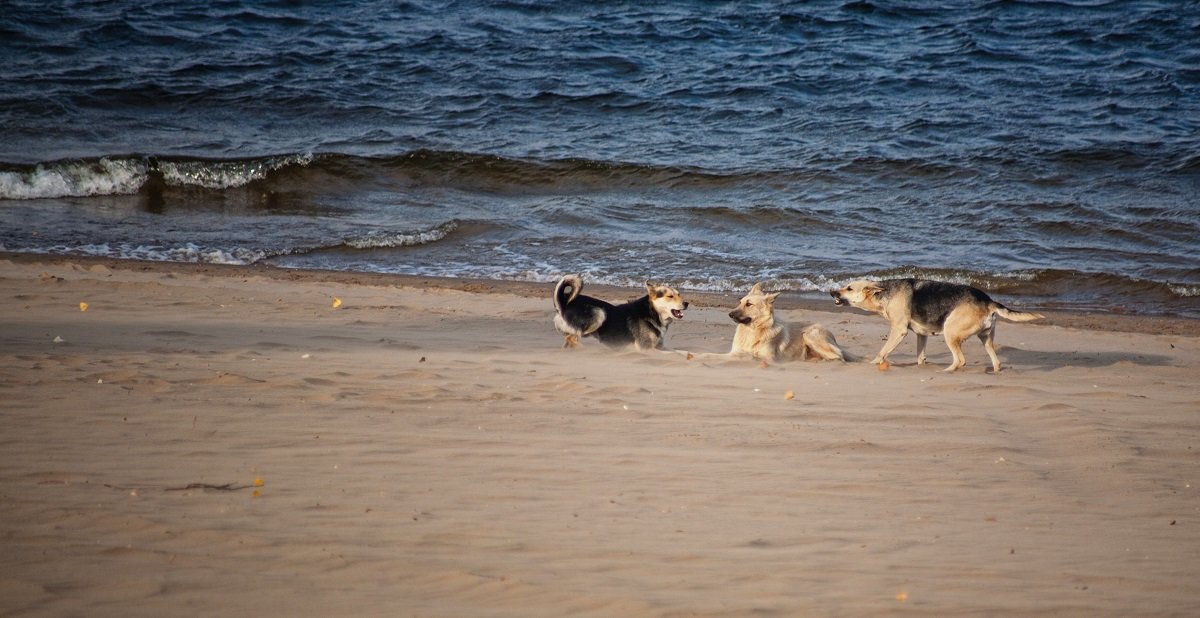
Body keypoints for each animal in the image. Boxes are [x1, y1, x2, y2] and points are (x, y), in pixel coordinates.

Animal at [549, 273, 686, 350]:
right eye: (670, 296)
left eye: (679, 294)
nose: (686, 303)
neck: (652, 312)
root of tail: (564, 303)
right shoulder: (646, 348)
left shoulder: (660, 346)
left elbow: (682, 353)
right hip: (599, 313)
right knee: (572, 338)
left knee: (569, 339)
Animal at [830, 279, 1046, 372]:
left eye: (849, 288)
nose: (832, 292)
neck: (885, 293)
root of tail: (988, 301)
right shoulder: (921, 334)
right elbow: (920, 356)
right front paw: (920, 366)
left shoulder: (898, 331)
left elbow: (882, 352)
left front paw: (873, 363)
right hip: (985, 337)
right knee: (996, 361)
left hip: (950, 332)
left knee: (960, 360)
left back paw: (946, 371)